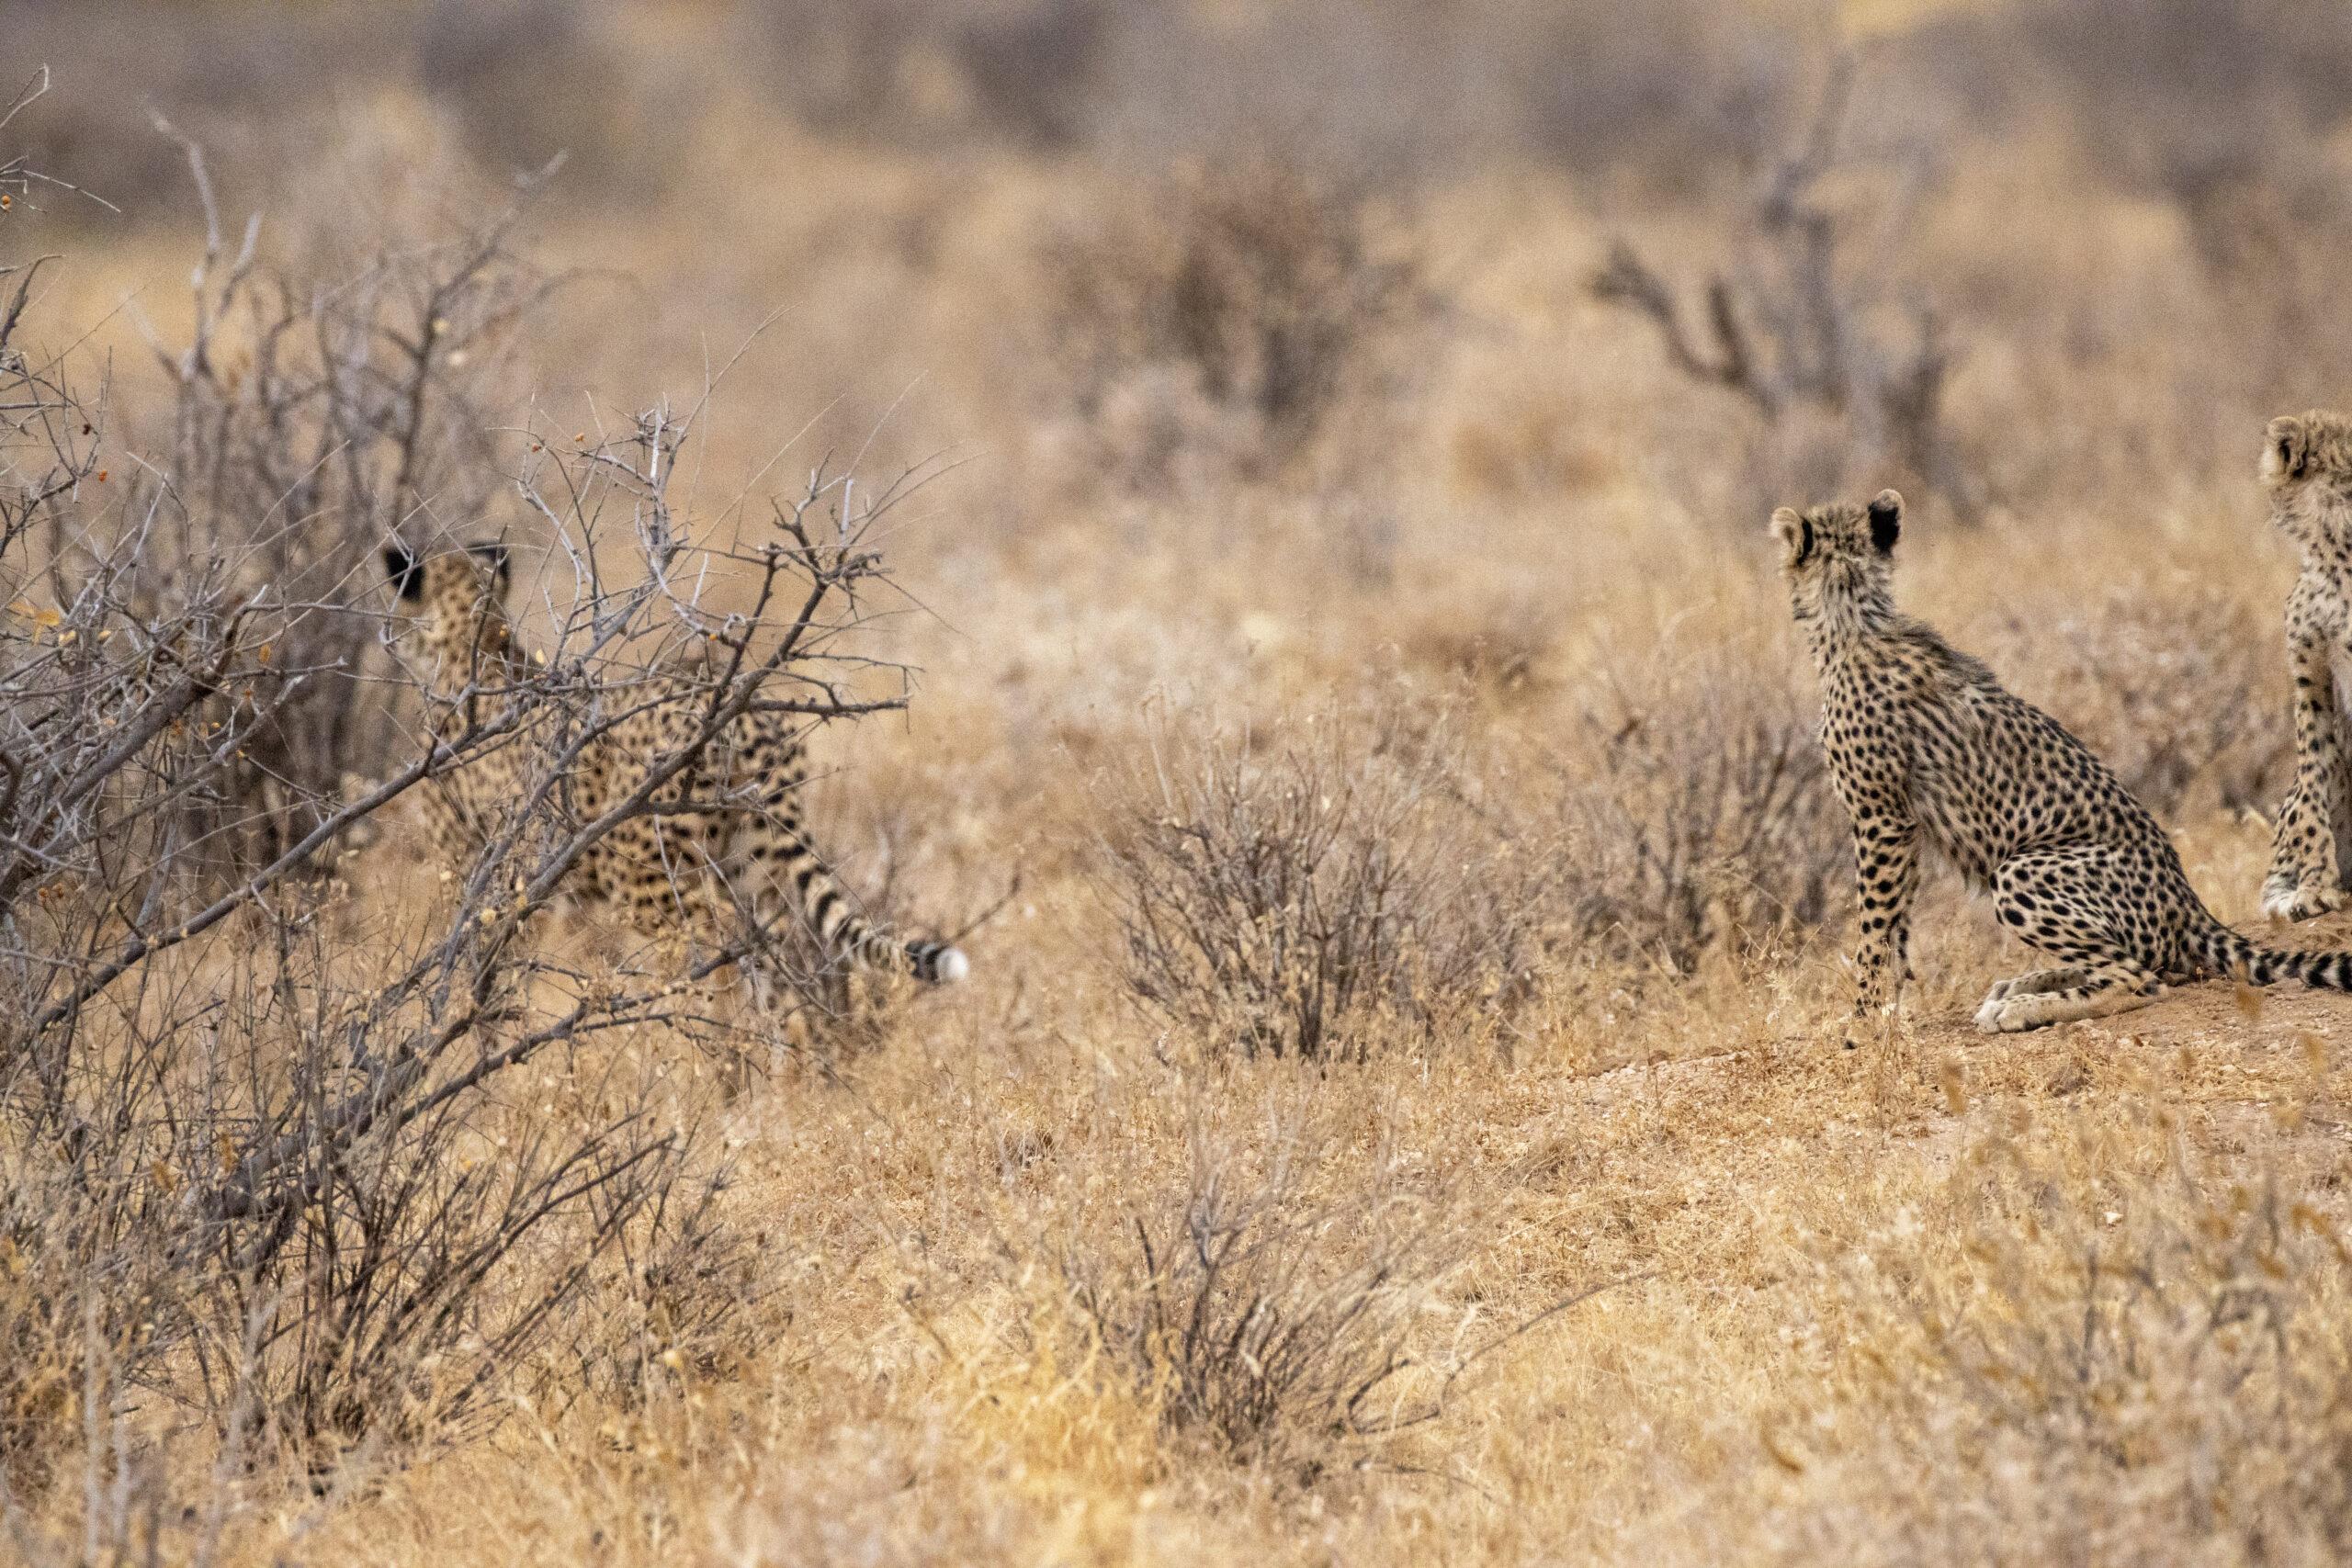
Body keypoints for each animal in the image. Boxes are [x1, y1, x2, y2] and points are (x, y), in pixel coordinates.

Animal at [383, 545, 964, 991]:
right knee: (771, 952)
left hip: (648, 875)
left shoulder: (470, 865)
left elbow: (473, 960)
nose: (389, 635)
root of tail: (735, 703)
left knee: (717, 942)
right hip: (753, 866)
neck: (474, 643)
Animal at [1778, 486, 2352, 1029]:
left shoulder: (1880, 820)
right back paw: (2020, 986)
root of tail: (2190, 904)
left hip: (2022, 870)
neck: (1854, 617)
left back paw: (2022, 1007)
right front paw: (1886, 1015)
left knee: (2137, 978)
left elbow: (1874, 928)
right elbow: (1895, 928)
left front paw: (1862, 1026)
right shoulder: (1904, 824)